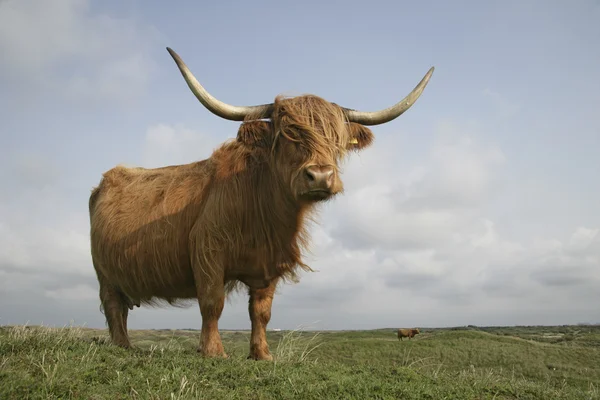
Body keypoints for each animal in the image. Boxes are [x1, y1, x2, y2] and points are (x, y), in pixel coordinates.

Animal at [89, 46, 434, 360]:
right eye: (287, 136)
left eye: (335, 141)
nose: (320, 176)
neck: (262, 209)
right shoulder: (208, 249)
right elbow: (212, 303)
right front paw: (213, 351)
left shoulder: (269, 265)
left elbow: (261, 313)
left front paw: (262, 354)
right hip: (104, 273)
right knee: (113, 306)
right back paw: (123, 346)